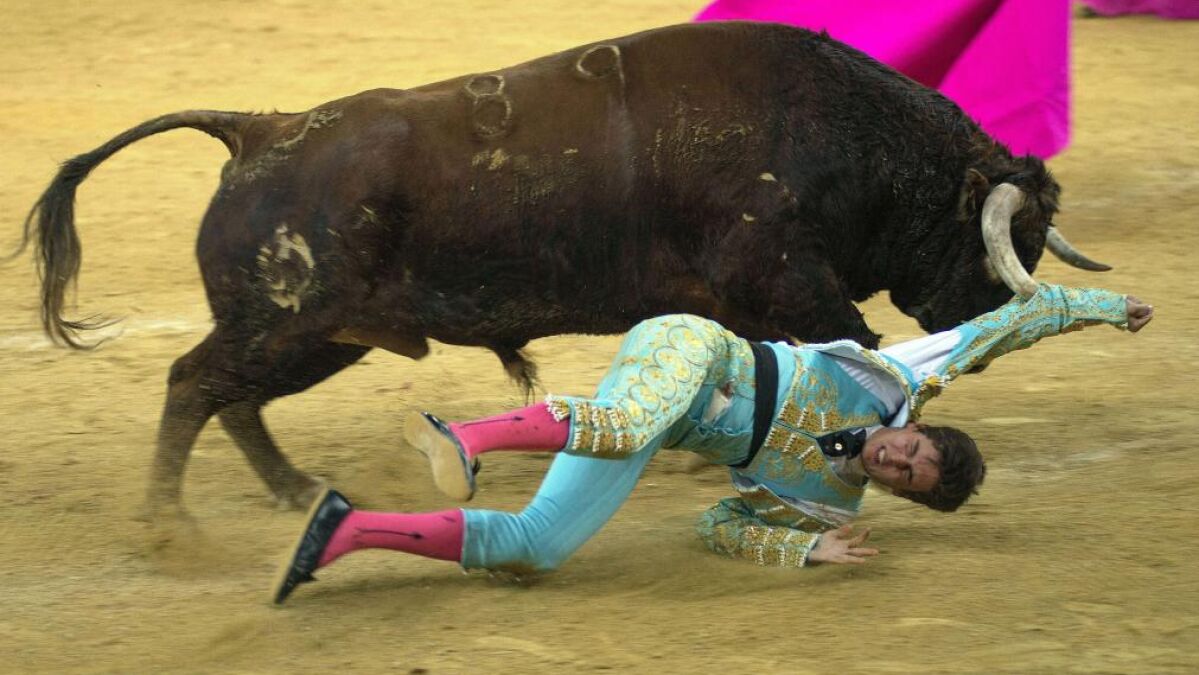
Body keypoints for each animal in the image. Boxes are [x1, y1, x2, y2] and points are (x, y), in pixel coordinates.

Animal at [16, 22, 1109, 518]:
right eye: (995, 236)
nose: (981, 315)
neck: (843, 135)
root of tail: (255, 130)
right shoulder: (791, 281)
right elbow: (850, 351)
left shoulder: (747, 300)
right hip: (289, 322)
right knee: (193, 382)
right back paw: (168, 526)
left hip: (317, 333)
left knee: (230, 397)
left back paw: (292, 491)